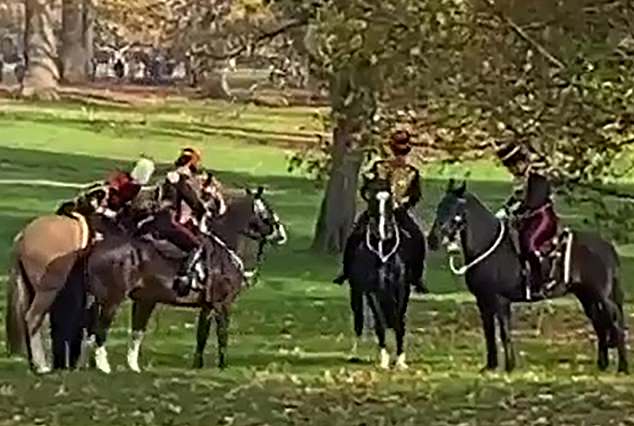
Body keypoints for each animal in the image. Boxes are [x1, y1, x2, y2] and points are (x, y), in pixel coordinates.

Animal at [77, 187, 286, 372]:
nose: (281, 234)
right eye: (266, 212)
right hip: (112, 300)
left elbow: (202, 335)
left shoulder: (207, 306)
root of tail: (96, 247)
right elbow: (222, 335)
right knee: (99, 331)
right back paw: (103, 366)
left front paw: (197, 365)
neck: (225, 248)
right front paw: (222, 366)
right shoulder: (222, 304)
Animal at [344, 176, 418, 370]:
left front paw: (400, 360)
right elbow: (380, 322)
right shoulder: (372, 291)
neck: (383, 248)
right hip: (356, 291)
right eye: (371, 200)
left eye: (390, 200)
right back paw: (354, 352)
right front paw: (385, 359)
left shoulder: (402, 288)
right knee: (359, 319)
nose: (383, 232)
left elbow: (399, 321)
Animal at [428, 181, 624, 374]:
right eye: (439, 207)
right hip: (587, 297)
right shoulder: (483, 301)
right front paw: (490, 366)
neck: (487, 246)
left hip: (603, 298)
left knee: (616, 325)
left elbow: (504, 333)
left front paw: (509, 367)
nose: (432, 240)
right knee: (600, 326)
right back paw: (603, 365)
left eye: (453, 209)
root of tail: (607, 247)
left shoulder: (500, 300)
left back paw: (624, 367)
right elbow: (489, 333)